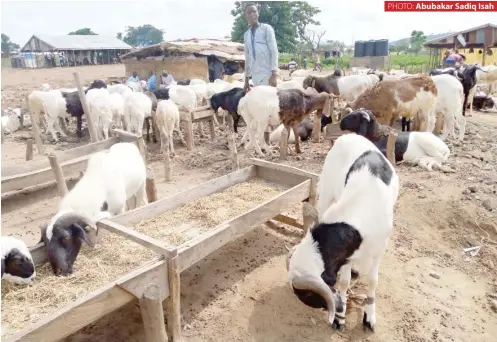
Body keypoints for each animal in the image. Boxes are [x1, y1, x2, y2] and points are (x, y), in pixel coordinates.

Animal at [284, 133, 398, 332]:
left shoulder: (379, 249)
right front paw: (340, 317)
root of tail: (348, 135)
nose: (335, 307)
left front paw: (369, 316)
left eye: (307, 295)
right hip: (325, 194)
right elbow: (344, 281)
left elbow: (373, 280)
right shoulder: (346, 255)